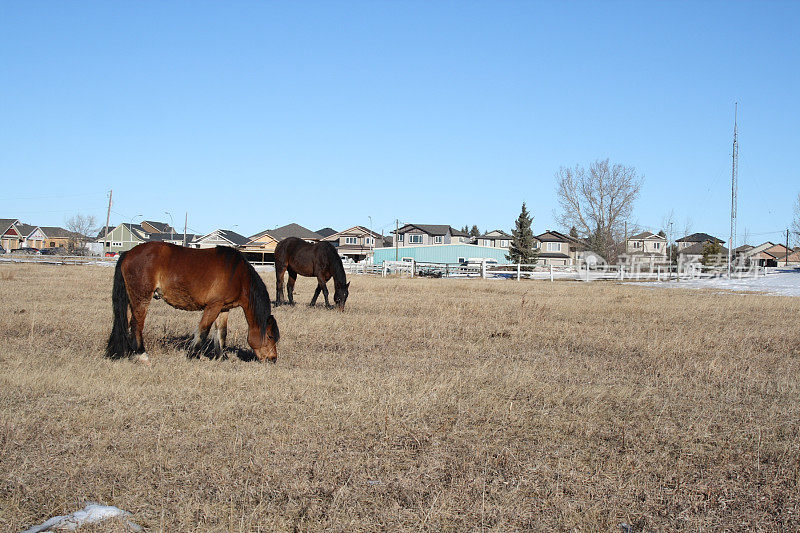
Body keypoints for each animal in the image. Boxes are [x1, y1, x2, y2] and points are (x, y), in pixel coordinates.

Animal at [103, 243, 280, 364]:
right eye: (270, 336)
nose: (272, 359)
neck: (238, 275)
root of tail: (128, 253)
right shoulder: (213, 306)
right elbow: (203, 330)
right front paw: (193, 354)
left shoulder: (223, 308)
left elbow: (221, 333)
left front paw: (221, 356)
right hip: (142, 298)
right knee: (136, 324)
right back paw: (141, 354)